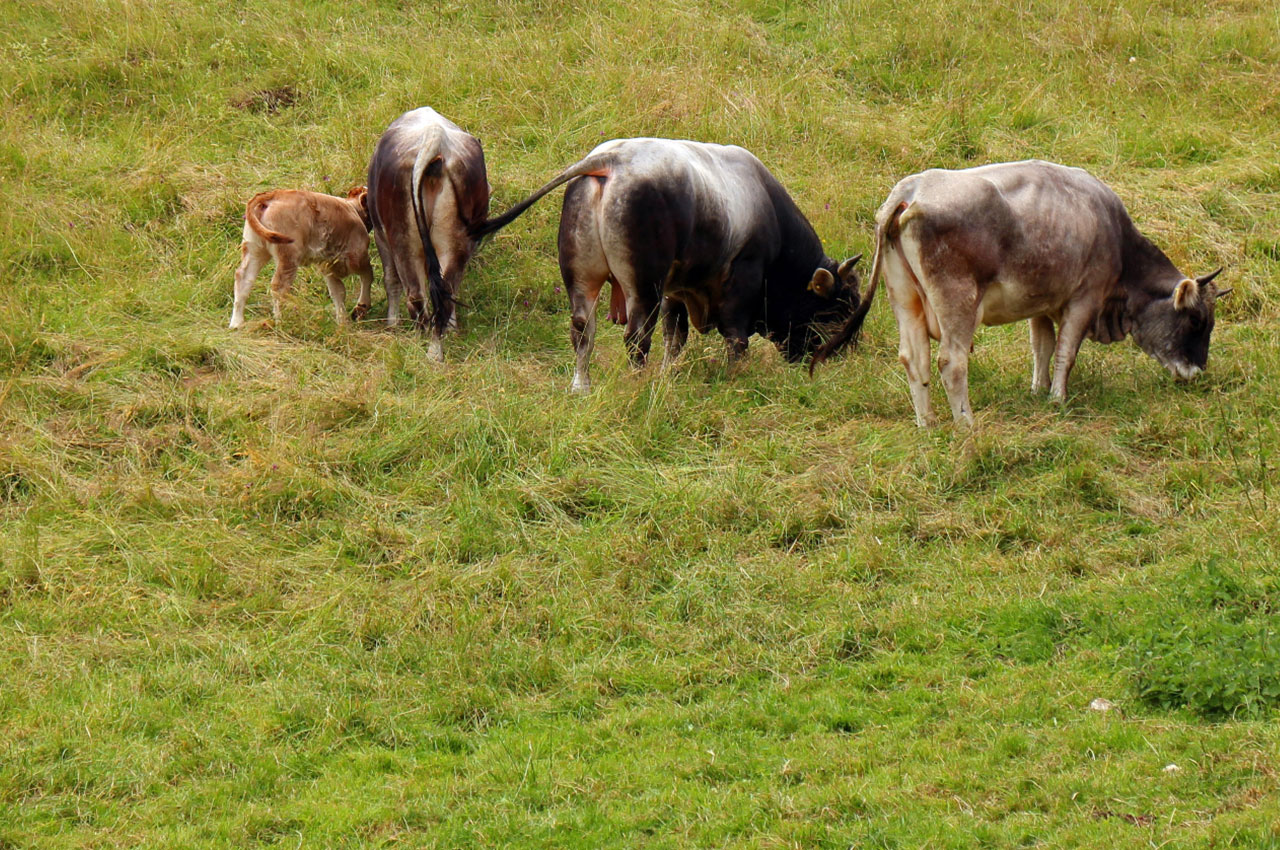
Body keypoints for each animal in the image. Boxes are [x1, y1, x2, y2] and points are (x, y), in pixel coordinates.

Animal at [229, 185, 373, 327]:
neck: (352, 209)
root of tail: (274, 194)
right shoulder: (358, 257)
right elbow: (368, 275)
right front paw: (361, 307)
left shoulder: (327, 267)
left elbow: (338, 292)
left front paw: (343, 323)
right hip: (289, 255)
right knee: (279, 287)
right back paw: (281, 322)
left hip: (254, 249)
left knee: (243, 278)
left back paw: (236, 323)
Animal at [371, 106, 494, 358]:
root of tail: (436, 138)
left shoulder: (381, 236)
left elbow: (391, 280)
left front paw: (391, 324)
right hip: (455, 242)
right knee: (445, 295)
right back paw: (435, 352)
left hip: (402, 239)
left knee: (416, 296)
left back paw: (419, 345)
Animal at [471, 137, 860, 394]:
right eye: (839, 311)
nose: (845, 360)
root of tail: (613, 159)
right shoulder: (742, 279)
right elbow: (735, 339)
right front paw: (735, 377)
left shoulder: (677, 290)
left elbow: (675, 338)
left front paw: (668, 375)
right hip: (644, 287)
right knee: (636, 337)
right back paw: (638, 383)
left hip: (584, 279)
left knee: (582, 331)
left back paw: (581, 387)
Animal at [808, 157, 1228, 425]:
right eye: (1196, 320)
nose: (1196, 372)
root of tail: (912, 189)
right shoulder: (1084, 299)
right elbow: (1065, 353)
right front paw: (1057, 399)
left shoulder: (1040, 304)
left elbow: (1042, 347)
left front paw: (1037, 391)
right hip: (957, 301)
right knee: (951, 363)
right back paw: (966, 425)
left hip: (905, 298)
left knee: (914, 360)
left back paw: (926, 423)